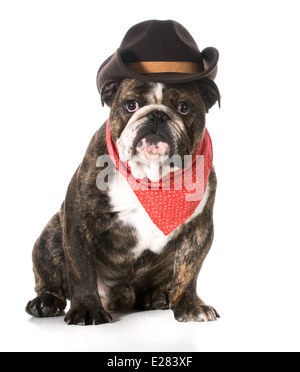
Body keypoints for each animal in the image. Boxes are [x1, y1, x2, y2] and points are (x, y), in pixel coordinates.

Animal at [26, 77, 220, 324]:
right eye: (131, 105)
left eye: (183, 107)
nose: (157, 115)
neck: (150, 175)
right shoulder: (79, 219)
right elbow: (81, 268)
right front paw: (87, 308)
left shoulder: (199, 228)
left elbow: (189, 271)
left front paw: (190, 305)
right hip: (51, 235)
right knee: (48, 280)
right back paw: (45, 302)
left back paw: (157, 297)